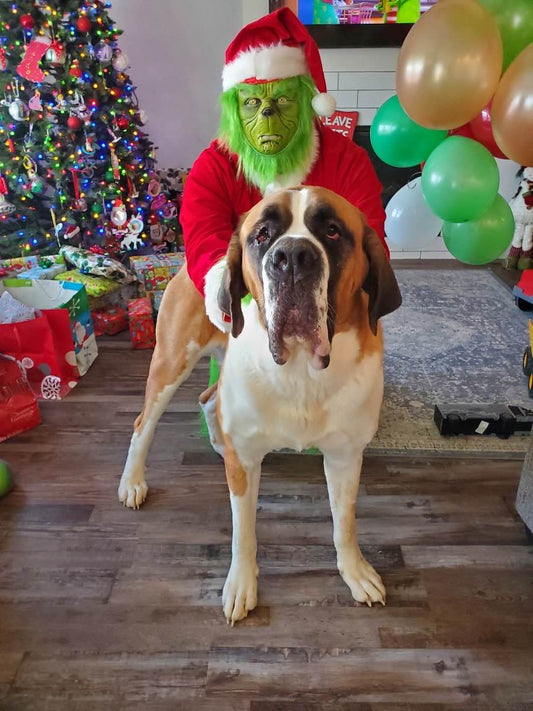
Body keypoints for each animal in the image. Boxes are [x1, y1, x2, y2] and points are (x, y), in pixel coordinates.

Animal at [118, 186, 402, 624]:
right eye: (262, 235)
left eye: (333, 231)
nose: (293, 257)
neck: (301, 371)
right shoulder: (247, 464)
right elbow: (244, 530)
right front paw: (241, 584)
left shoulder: (345, 456)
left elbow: (345, 522)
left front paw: (354, 571)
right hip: (171, 362)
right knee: (143, 424)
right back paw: (133, 482)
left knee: (207, 398)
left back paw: (218, 442)